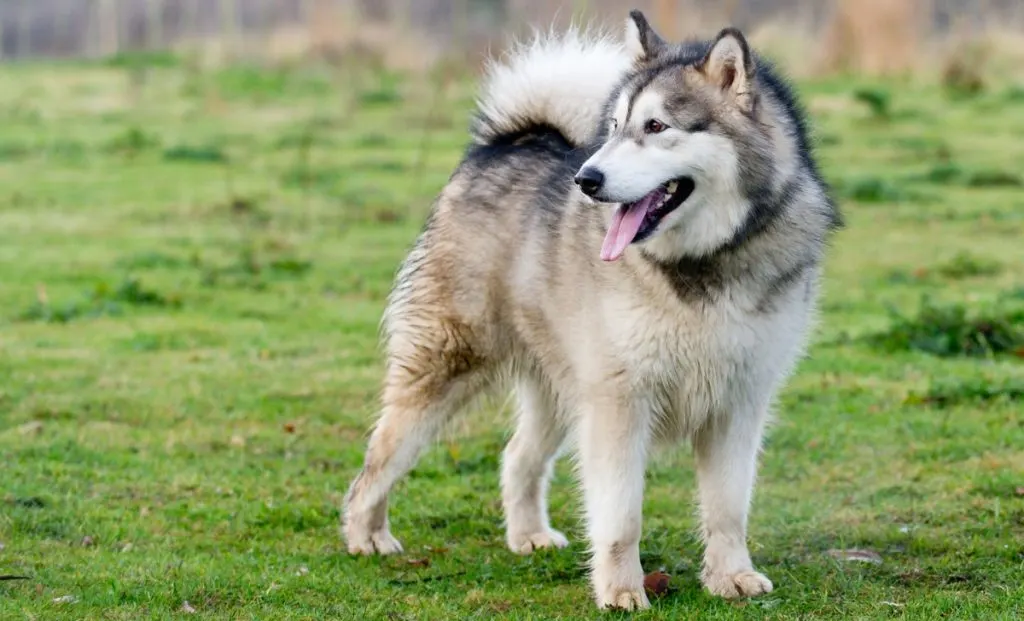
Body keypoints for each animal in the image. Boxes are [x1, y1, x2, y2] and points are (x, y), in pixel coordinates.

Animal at [344, 9, 839, 614]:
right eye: (616, 126)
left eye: (656, 127)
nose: (587, 179)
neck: (702, 265)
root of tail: (503, 143)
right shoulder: (619, 403)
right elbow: (620, 515)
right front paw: (622, 589)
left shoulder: (738, 402)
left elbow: (727, 508)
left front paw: (731, 576)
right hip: (450, 364)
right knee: (380, 456)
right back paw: (366, 533)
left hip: (563, 386)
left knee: (518, 456)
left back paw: (528, 535)